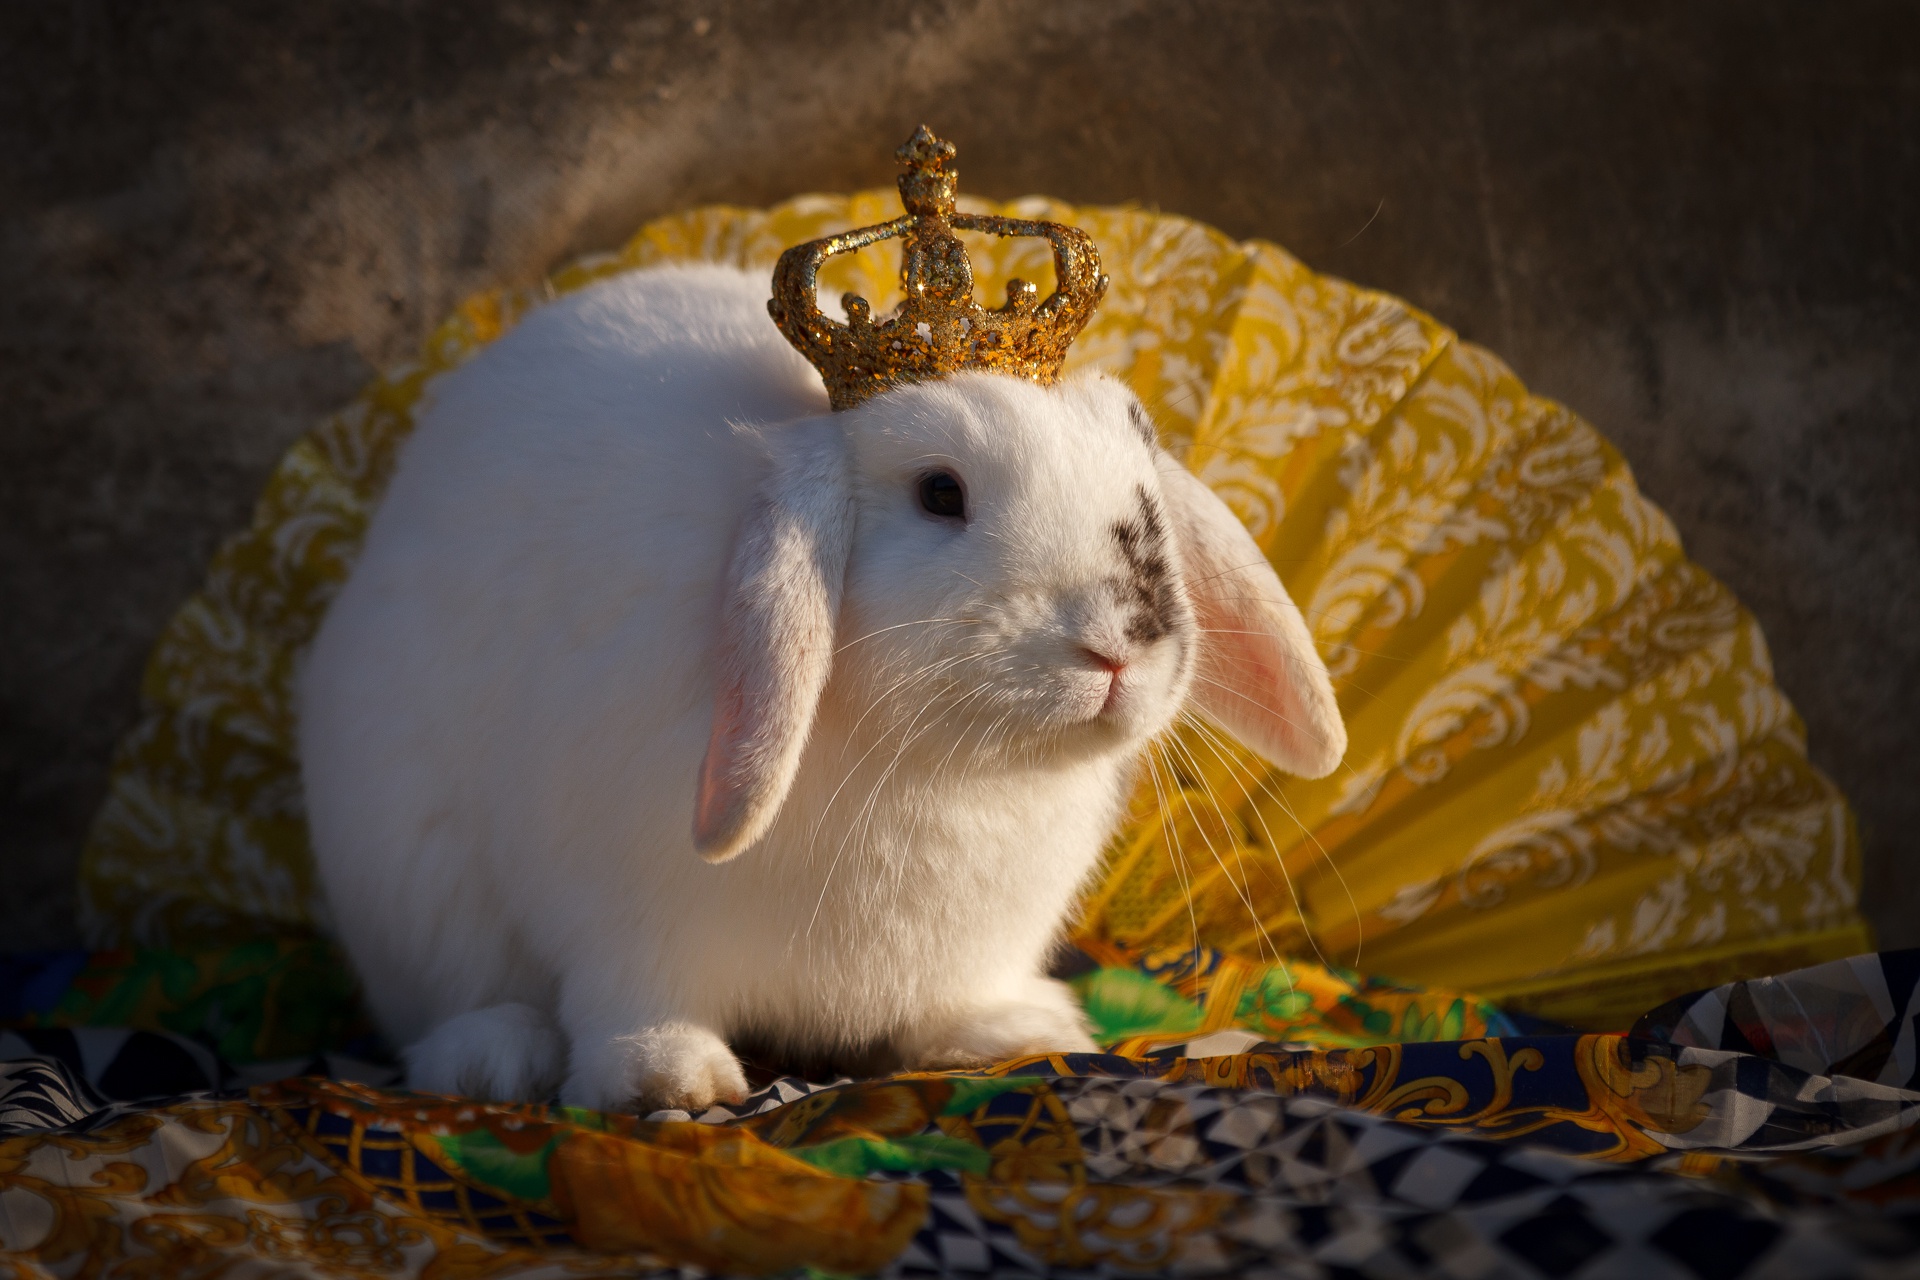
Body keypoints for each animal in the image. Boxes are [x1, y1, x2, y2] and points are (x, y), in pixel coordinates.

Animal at [303, 260, 1351, 1113]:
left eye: (1144, 489)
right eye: (940, 493)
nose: (1120, 648)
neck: (944, 762)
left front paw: (1012, 1034)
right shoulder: (615, 907)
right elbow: (630, 1001)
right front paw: (667, 1081)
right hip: (413, 879)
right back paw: (494, 1057)